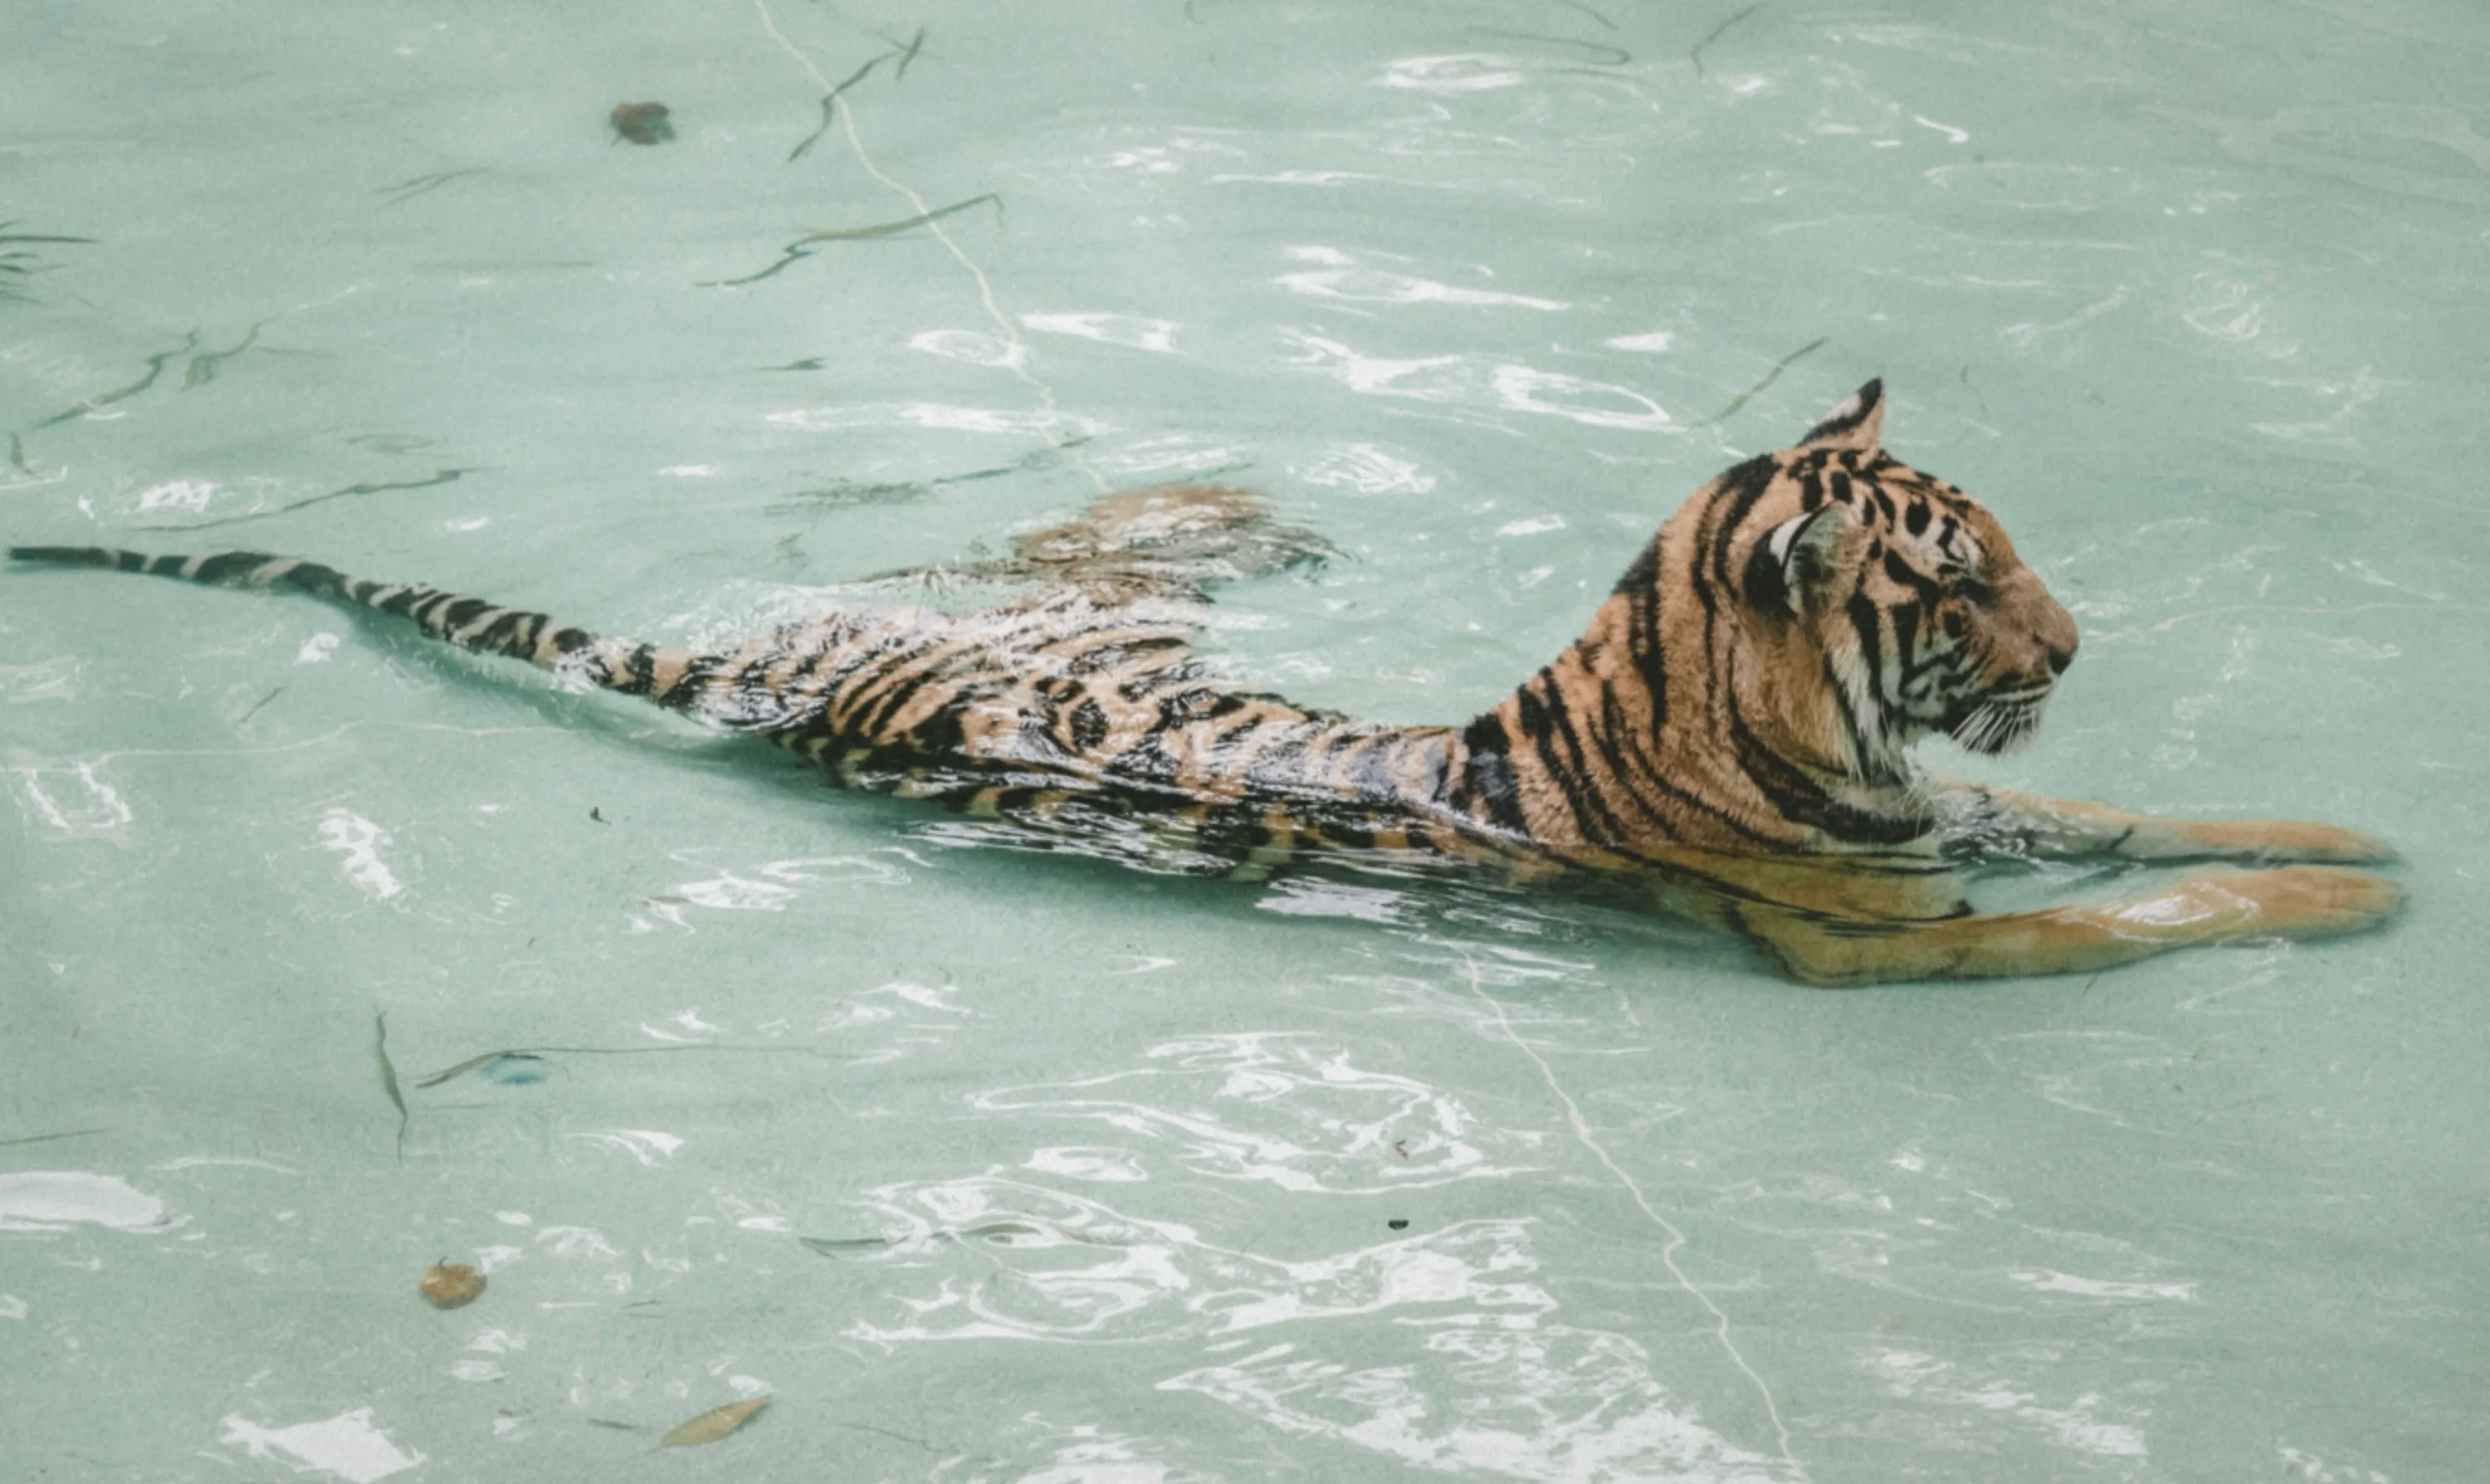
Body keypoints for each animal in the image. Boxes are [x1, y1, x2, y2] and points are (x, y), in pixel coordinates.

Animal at [9, 380, 2403, 984]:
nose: (2077, 647)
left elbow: (2147, 822)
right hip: (1018, 617)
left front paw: (2350, 828)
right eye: (1963, 578)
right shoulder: (1883, 933)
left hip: (1046, 606)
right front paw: (2341, 894)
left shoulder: (1953, 821)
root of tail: (755, 673)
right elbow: (2141, 904)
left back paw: (1234, 498)